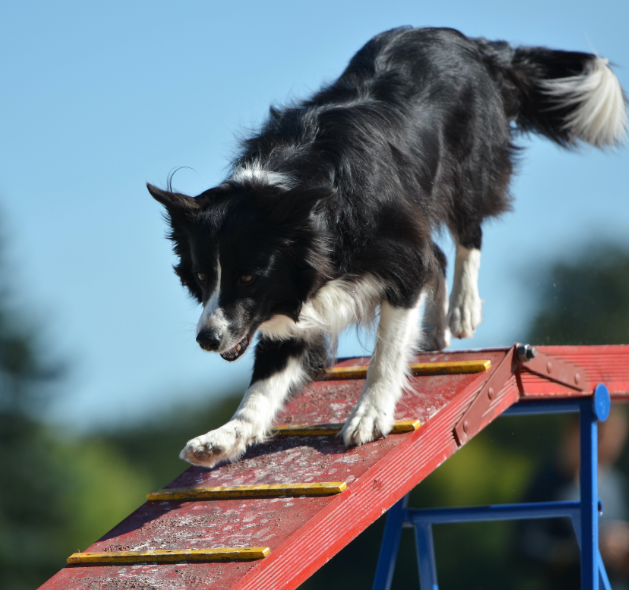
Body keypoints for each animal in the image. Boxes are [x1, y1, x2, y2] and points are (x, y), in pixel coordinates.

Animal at [147, 27, 624, 470]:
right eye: (202, 276)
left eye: (248, 276)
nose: (207, 339)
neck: (304, 203)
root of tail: (465, 39)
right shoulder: (295, 299)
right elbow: (262, 384)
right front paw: (225, 437)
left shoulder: (395, 255)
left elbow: (387, 349)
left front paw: (369, 415)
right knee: (439, 255)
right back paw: (436, 327)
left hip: (466, 168)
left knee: (468, 233)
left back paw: (462, 309)